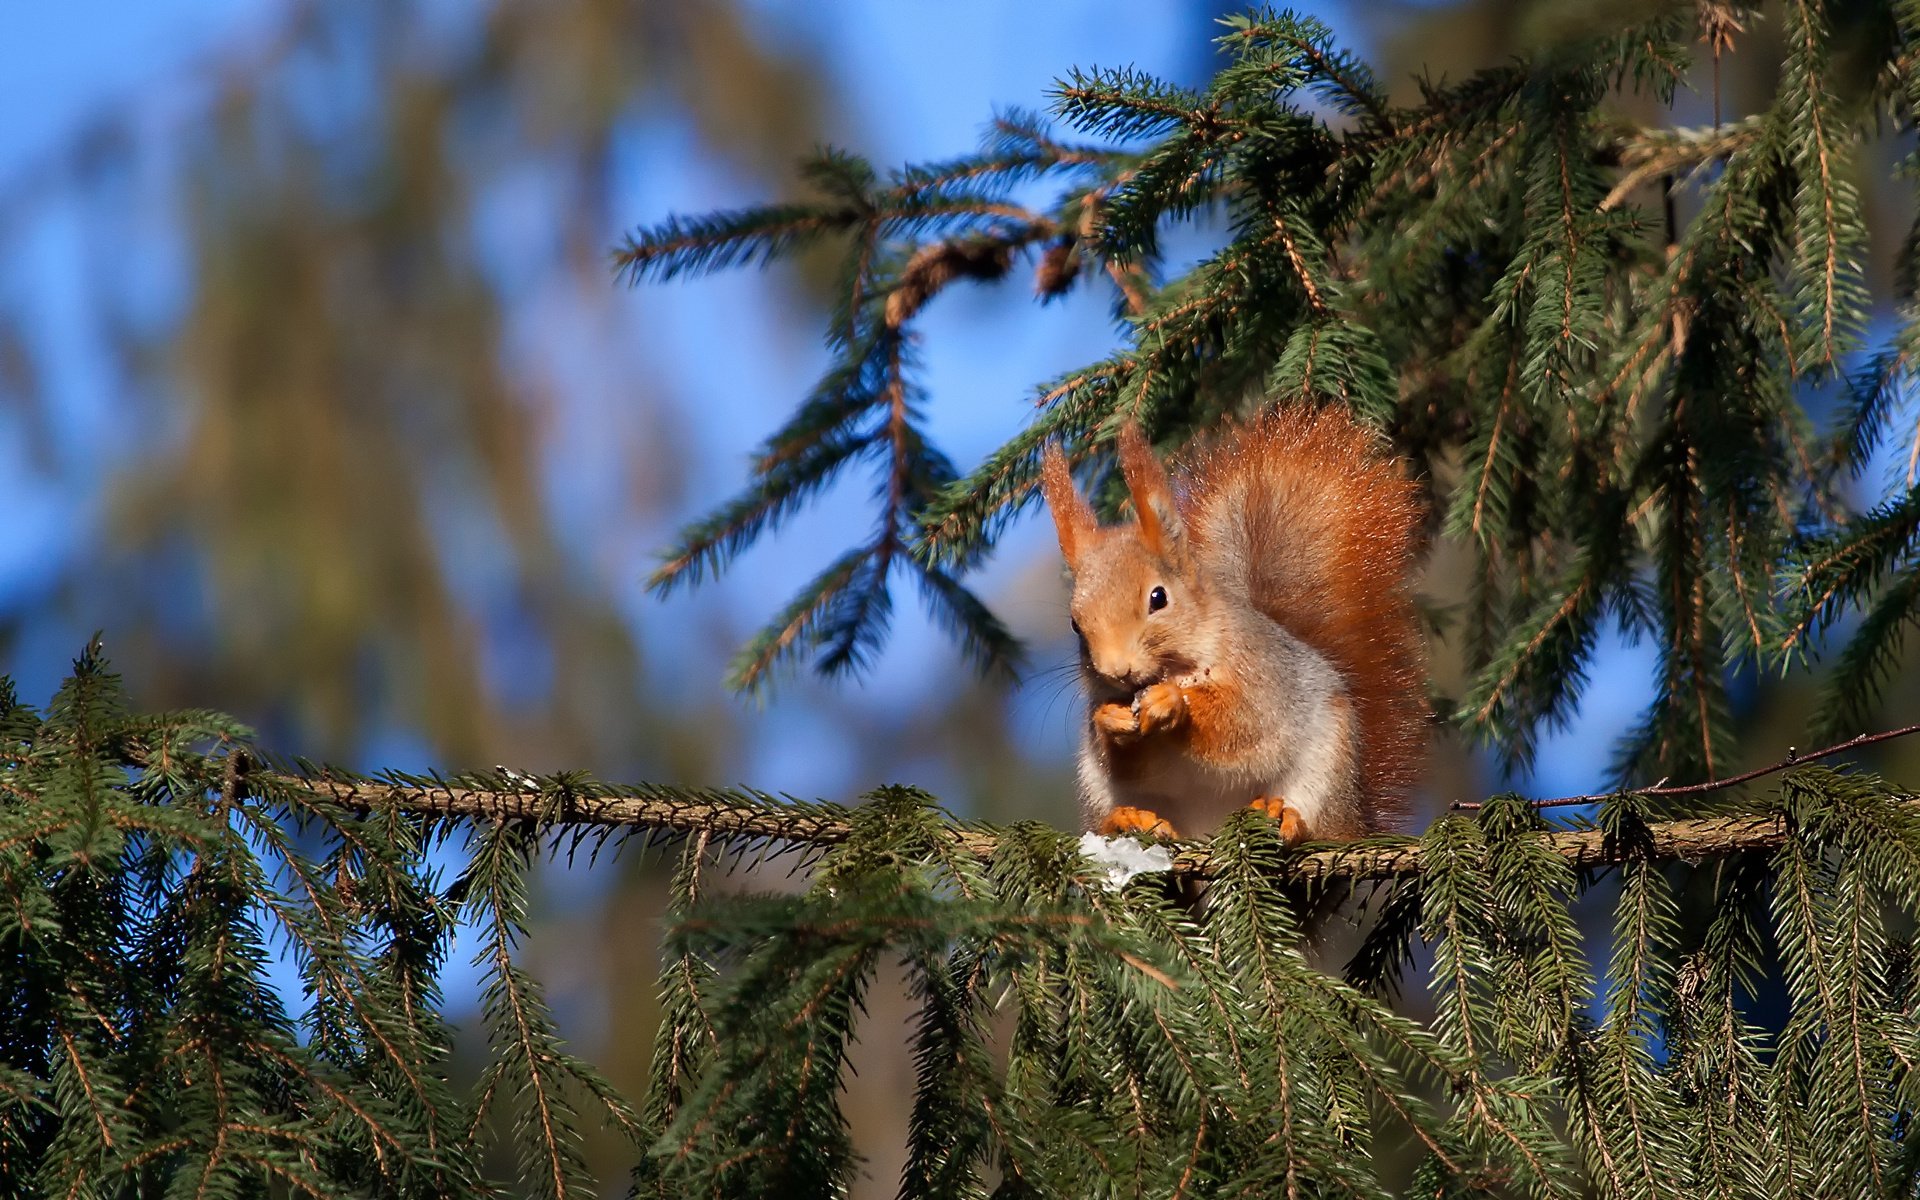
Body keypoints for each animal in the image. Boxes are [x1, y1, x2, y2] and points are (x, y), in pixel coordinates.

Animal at [1039, 405, 1427, 844]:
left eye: (1158, 598)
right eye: (1075, 624)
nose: (1117, 670)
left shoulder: (1262, 677)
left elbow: (1240, 726)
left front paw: (1173, 703)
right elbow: (1129, 763)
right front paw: (1112, 720)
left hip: (1327, 768)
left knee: (1316, 823)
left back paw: (1285, 815)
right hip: (1097, 791)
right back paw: (1128, 819)